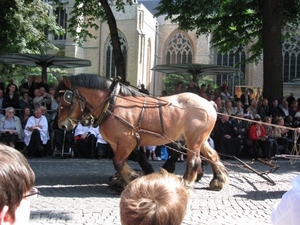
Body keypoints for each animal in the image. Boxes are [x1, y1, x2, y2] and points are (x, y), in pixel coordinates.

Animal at [55, 73, 227, 192]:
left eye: (66, 99)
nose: (62, 125)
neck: (112, 104)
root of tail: (208, 103)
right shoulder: (116, 143)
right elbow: (123, 161)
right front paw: (120, 182)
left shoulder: (127, 140)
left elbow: (118, 162)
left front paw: (132, 178)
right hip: (199, 139)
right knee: (212, 156)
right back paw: (218, 180)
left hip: (193, 139)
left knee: (193, 160)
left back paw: (186, 182)